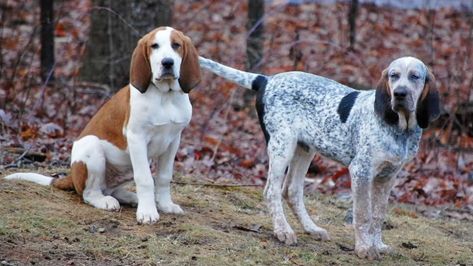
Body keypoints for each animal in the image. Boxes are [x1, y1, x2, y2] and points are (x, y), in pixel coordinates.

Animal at [5, 27, 201, 225]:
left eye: (176, 45)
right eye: (154, 46)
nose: (167, 62)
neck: (165, 96)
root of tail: (72, 176)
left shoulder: (173, 140)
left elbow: (163, 177)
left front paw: (166, 205)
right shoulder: (136, 138)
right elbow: (145, 178)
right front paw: (147, 212)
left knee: (112, 189)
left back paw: (131, 197)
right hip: (92, 147)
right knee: (89, 193)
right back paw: (106, 201)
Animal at [198, 55, 438, 258]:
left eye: (415, 77)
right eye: (393, 76)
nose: (399, 94)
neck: (401, 129)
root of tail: (267, 79)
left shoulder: (388, 176)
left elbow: (378, 215)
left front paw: (377, 245)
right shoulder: (361, 171)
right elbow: (363, 214)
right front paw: (364, 248)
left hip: (304, 150)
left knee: (291, 191)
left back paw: (311, 228)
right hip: (282, 146)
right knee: (271, 191)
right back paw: (283, 231)